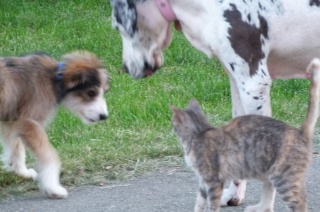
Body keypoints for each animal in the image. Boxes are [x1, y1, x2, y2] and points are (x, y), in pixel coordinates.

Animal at [0, 51, 109, 199]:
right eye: (91, 92)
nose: (104, 116)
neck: (54, 79)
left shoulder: (12, 121)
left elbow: (16, 147)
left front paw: (21, 171)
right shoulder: (30, 123)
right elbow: (50, 157)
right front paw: (53, 188)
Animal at [170, 58, 320, 212]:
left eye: (172, 120)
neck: (200, 133)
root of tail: (300, 132)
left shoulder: (214, 181)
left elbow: (212, 205)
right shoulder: (203, 182)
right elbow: (199, 203)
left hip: (284, 180)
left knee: (301, 203)